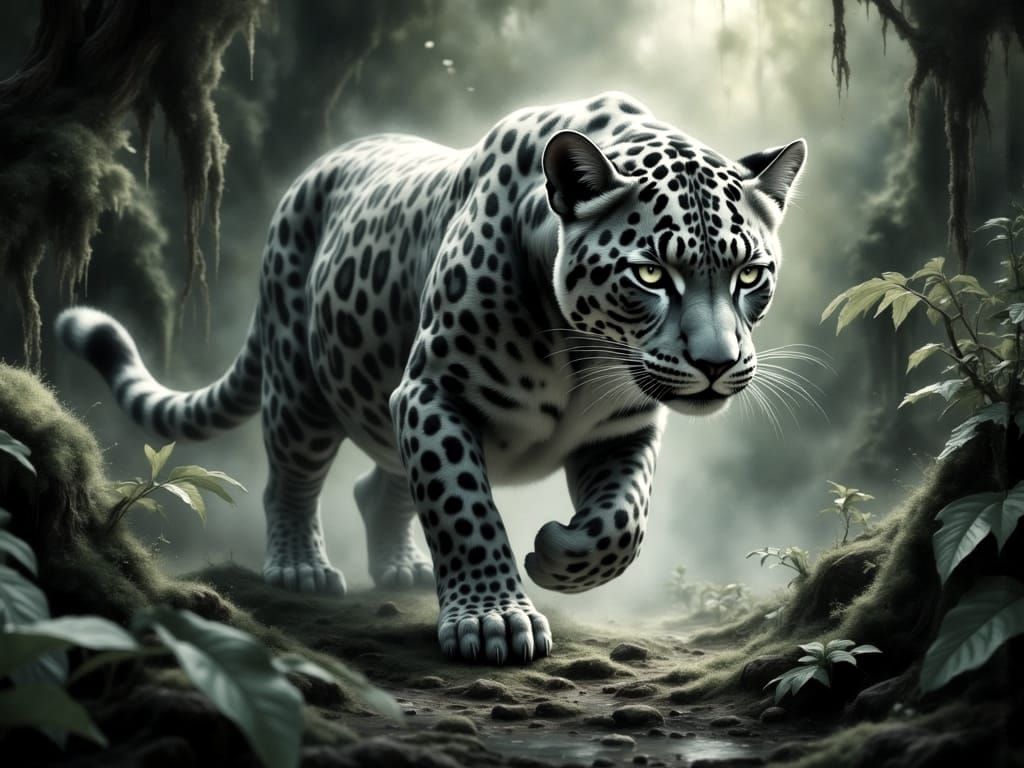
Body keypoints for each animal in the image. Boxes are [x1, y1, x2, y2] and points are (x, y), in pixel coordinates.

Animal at [57, 91, 806, 664]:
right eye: (651, 274)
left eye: (749, 275)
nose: (716, 365)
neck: (584, 352)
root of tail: (314, 171)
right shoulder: (432, 392)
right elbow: (462, 505)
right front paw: (493, 619)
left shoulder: (623, 429)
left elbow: (624, 523)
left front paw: (557, 554)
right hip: (302, 390)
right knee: (290, 479)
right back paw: (301, 568)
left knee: (378, 484)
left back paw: (404, 568)